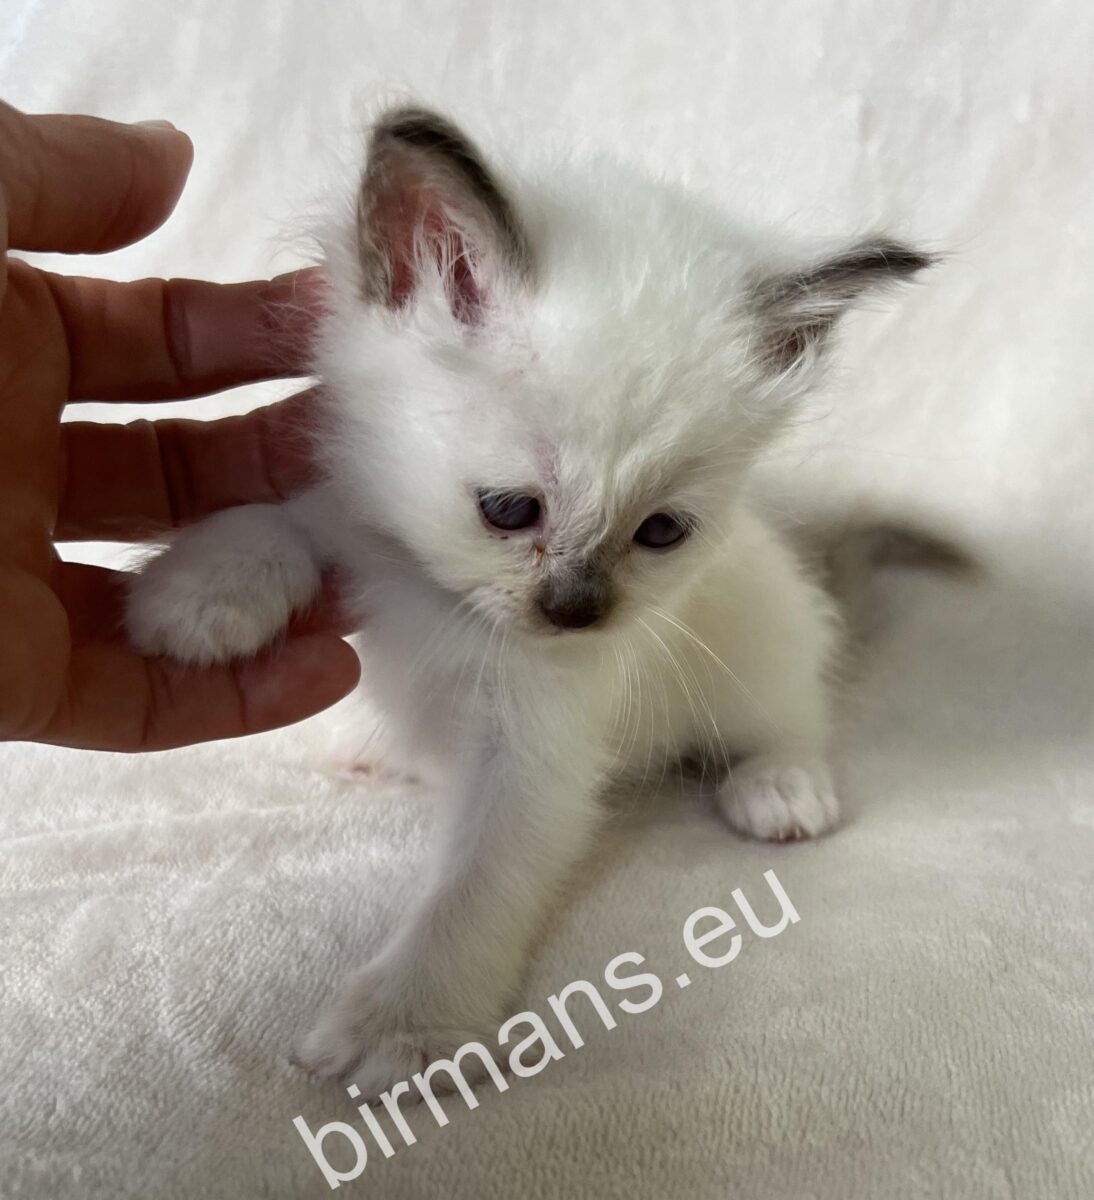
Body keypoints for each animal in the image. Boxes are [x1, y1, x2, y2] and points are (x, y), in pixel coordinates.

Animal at [126, 105, 934, 1098]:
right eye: (509, 512)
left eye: (660, 532)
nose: (576, 613)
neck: (444, 605)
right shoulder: (363, 522)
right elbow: (286, 519)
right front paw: (198, 597)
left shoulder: (534, 753)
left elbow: (476, 886)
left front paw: (408, 1026)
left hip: (759, 647)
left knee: (791, 716)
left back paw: (781, 789)